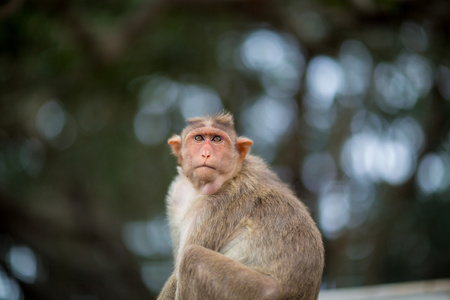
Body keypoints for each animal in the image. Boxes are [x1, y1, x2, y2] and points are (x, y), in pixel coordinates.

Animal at [158, 112, 324, 300]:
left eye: (217, 139)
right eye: (198, 138)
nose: (206, 154)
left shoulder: (212, 208)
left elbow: (178, 273)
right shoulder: (177, 194)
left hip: (248, 290)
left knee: (192, 257)